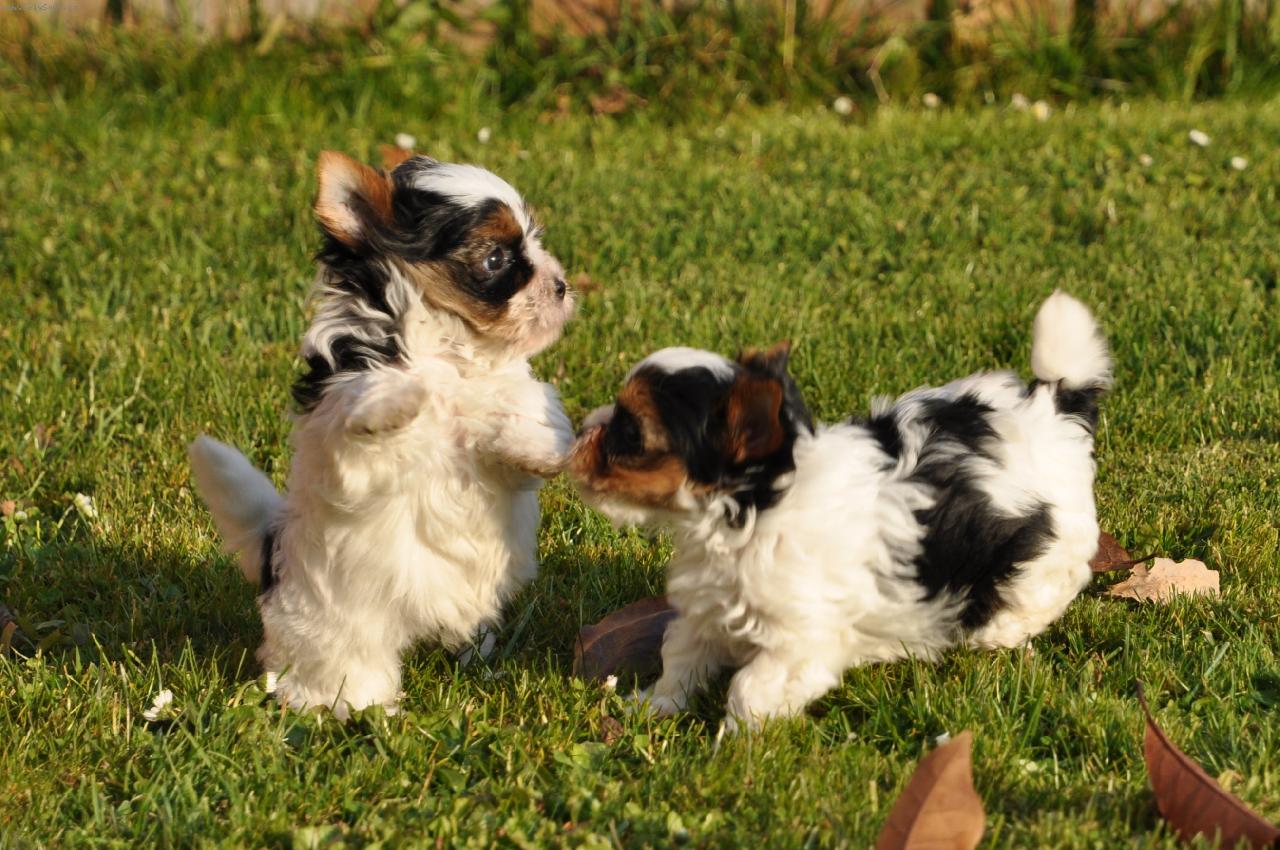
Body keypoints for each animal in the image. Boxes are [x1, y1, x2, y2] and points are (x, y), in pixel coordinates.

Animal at [189, 150, 574, 717]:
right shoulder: (348, 440)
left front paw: (544, 448)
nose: (561, 284)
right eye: (496, 260)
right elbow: (373, 405)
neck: (450, 349)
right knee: (343, 666)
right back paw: (357, 708)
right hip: (332, 624)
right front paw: (403, 397)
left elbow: (520, 415)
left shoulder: (506, 408)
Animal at [569, 292, 1110, 730]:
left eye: (629, 432)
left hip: (1047, 549)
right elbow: (682, 651)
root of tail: (1054, 406)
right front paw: (655, 705)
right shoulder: (710, 605)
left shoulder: (800, 640)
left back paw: (997, 631)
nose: (583, 428)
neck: (752, 512)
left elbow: (752, 687)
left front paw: (739, 748)